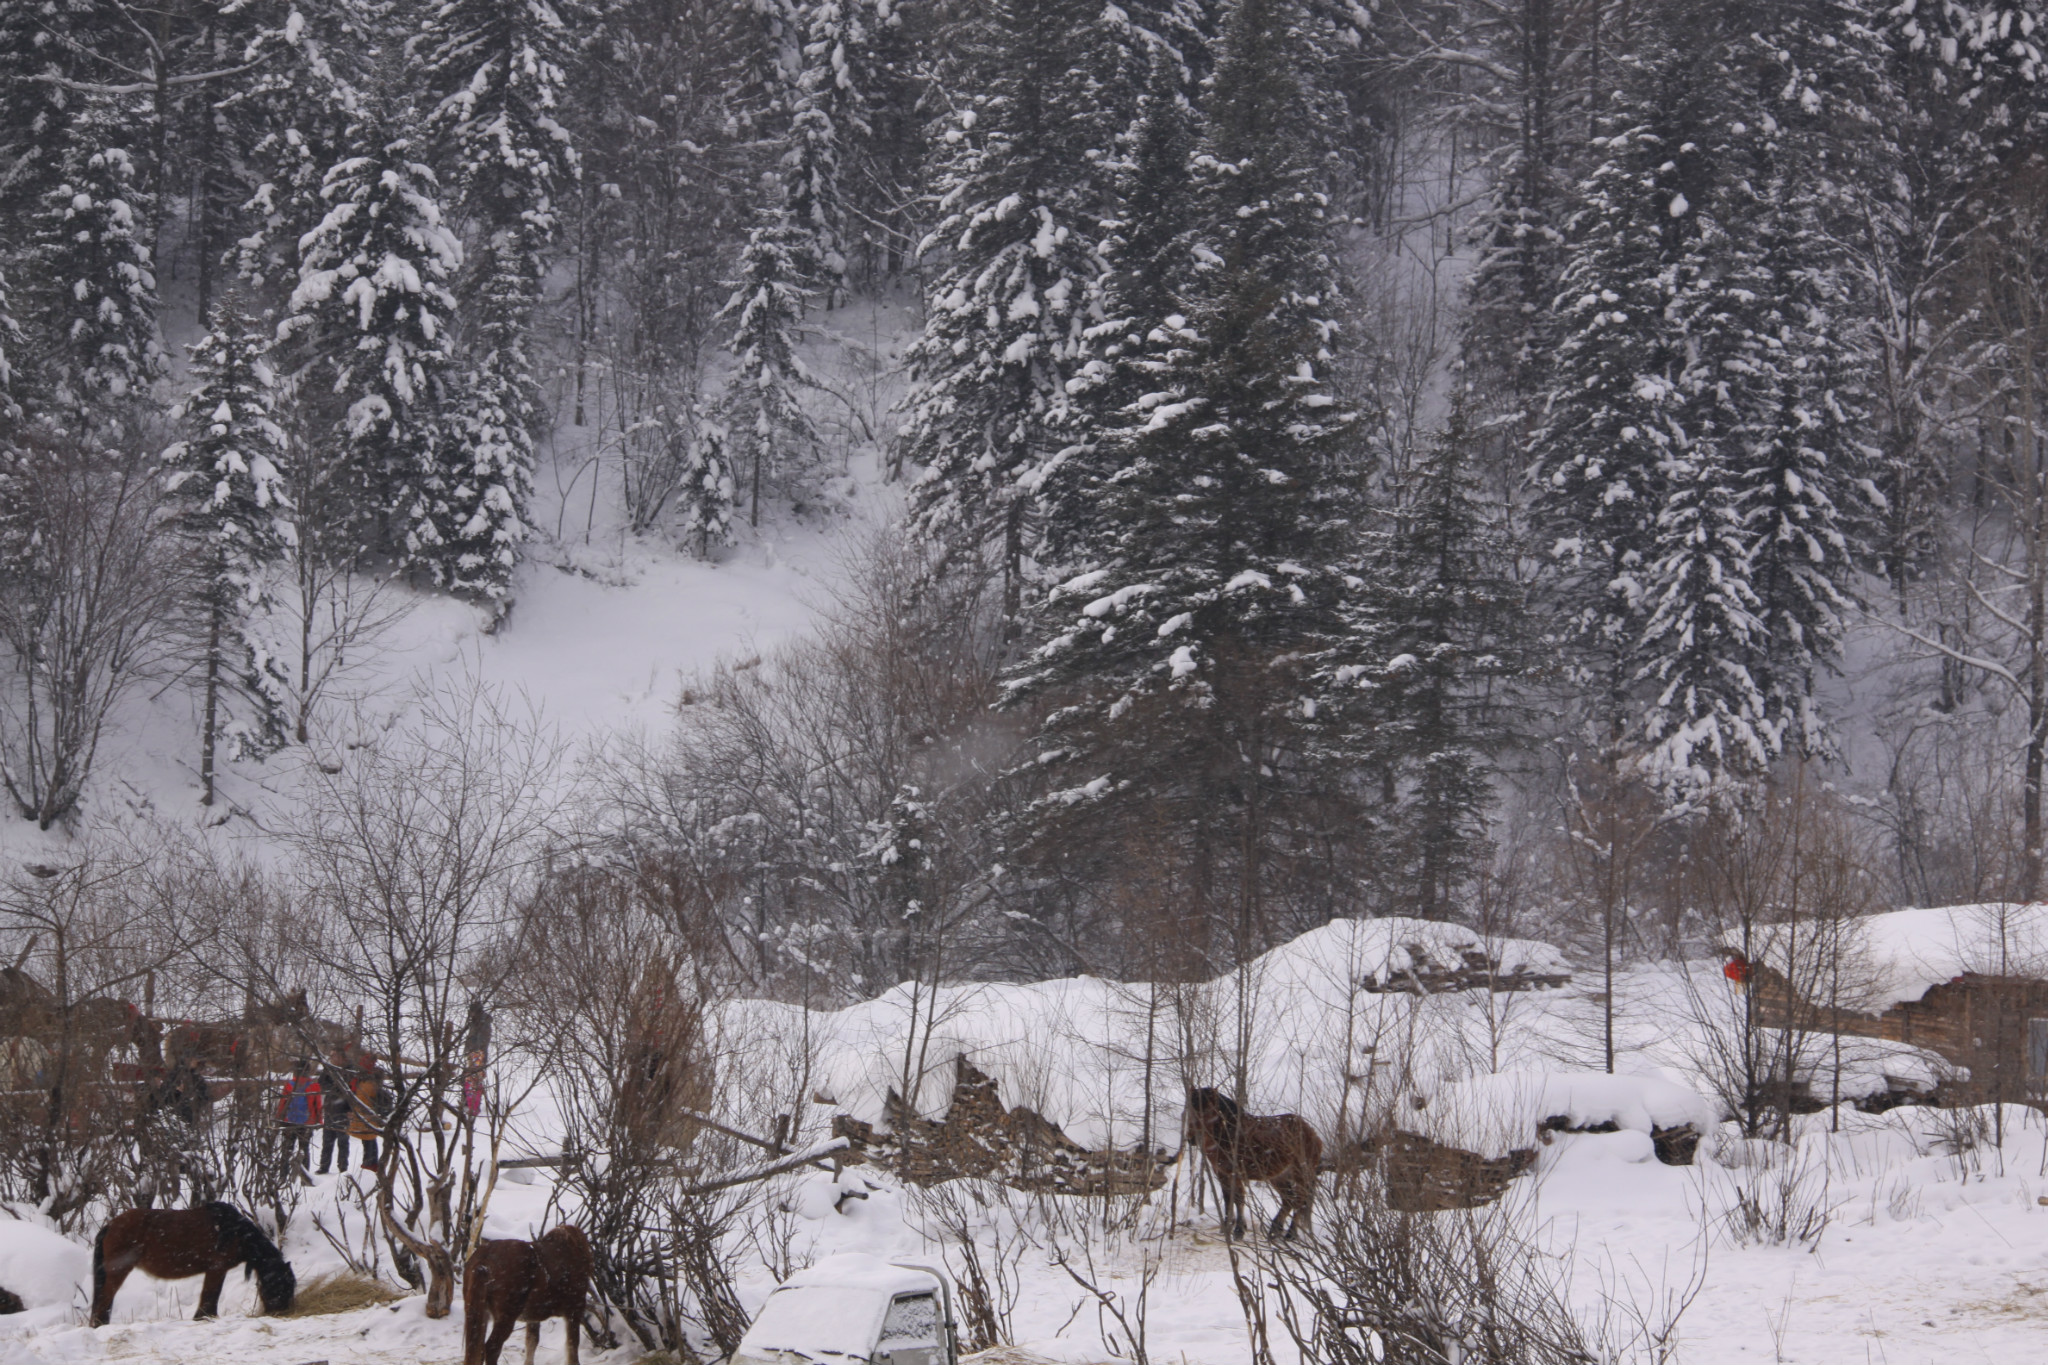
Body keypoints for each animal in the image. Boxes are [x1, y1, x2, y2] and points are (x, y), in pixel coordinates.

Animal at [89, 1203, 296, 1326]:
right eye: (282, 1285)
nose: (283, 1310)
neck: (234, 1232)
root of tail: (110, 1225)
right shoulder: (217, 1269)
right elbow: (210, 1295)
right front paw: (204, 1317)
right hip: (118, 1270)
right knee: (104, 1299)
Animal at [464, 1227, 593, 1365]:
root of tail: (485, 1261)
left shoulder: (533, 1317)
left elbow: (532, 1342)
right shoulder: (575, 1310)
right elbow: (572, 1347)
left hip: (478, 1313)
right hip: (506, 1316)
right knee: (491, 1348)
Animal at [1187, 1080, 1327, 1244]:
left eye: (1208, 1110)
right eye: (1189, 1108)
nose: (1192, 1138)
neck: (1229, 1133)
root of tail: (1312, 1132)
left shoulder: (1235, 1173)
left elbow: (1238, 1199)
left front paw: (1239, 1231)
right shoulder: (1221, 1173)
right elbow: (1228, 1199)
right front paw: (1226, 1227)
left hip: (1300, 1174)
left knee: (1300, 1199)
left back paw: (1289, 1234)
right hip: (1279, 1176)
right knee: (1288, 1199)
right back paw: (1275, 1231)